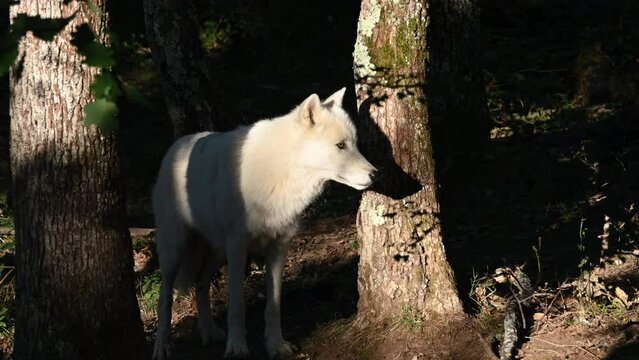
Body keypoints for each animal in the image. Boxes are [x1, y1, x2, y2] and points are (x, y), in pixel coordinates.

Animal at [152, 88, 378, 360]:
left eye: (354, 143)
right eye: (341, 145)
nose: (375, 174)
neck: (282, 171)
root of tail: (175, 146)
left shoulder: (279, 248)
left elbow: (274, 305)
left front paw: (276, 345)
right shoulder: (238, 248)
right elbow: (236, 306)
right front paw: (237, 347)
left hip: (216, 252)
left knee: (200, 284)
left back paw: (209, 332)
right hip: (176, 251)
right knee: (165, 297)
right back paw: (162, 345)